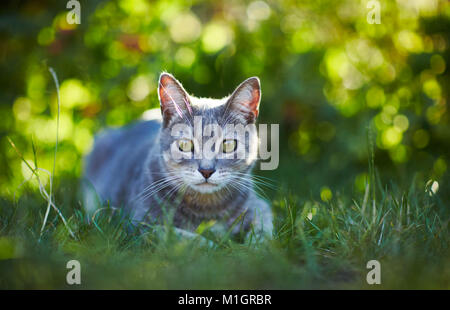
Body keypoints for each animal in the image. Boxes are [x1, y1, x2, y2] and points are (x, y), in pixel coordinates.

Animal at [82, 72, 272, 240]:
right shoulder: (140, 224)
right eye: (185, 145)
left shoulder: (261, 208)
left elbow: (263, 235)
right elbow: (190, 239)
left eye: (228, 145)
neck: (206, 209)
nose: (206, 170)